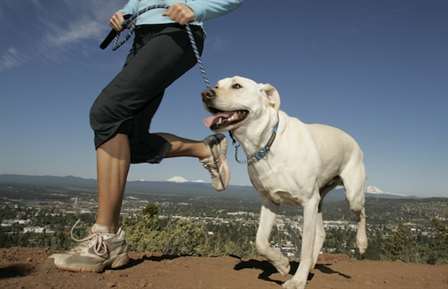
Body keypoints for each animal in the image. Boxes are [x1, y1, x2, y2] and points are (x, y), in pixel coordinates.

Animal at [203, 76, 368, 288]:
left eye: (237, 85)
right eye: (216, 85)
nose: (205, 94)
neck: (267, 143)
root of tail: (352, 139)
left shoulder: (308, 202)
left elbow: (304, 247)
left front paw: (298, 280)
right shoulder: (270, 201)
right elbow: (260, 241)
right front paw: (282, 264)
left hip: (351, 195)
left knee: (361, 214)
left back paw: (362, 243)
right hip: (319, 200)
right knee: (322, 233)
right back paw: (312, 265)